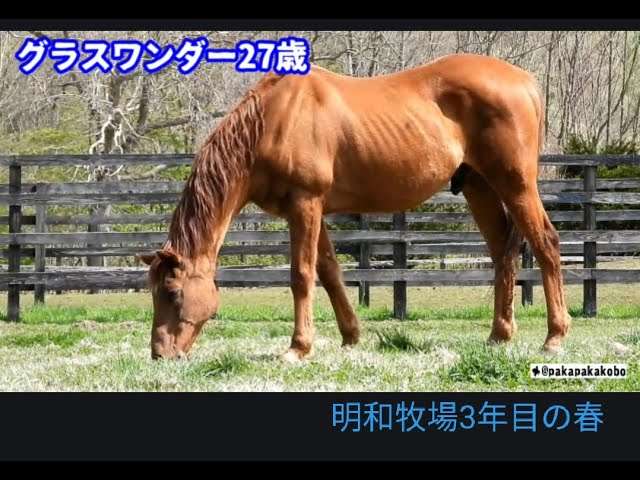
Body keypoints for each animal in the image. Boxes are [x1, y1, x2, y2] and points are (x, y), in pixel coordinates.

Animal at [139, 53, 571, 361]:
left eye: (173, 293)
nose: (160, 355)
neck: (272, 121)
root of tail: (525, 81)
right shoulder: (310, 210)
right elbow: (330, 272)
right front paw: (350, 337)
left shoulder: (305, 204)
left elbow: (302, 275)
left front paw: (298, 347)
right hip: (477, 186)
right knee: (502, 252)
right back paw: (499, 335)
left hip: (516, 185)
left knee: (546, 243)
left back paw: (554, 336)